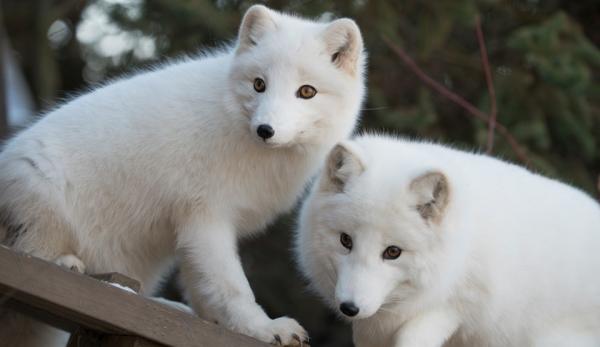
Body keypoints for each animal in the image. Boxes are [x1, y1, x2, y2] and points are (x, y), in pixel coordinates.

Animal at [0, 4, 366, 346]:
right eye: (259, 84)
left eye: (307, 92)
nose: (265, 130)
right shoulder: (206, 217)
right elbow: (231, 286)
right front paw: (262, 329)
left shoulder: (193, 228)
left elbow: (204, 289)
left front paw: (215, 326)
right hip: (39, 194)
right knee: (29, 251)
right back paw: (65, 263)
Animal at [296, 134, 600, 347]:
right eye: (345, 240)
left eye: (393, 252)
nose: (349, 308)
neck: (458, 250)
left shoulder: (454, 308)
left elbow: (413, 337)